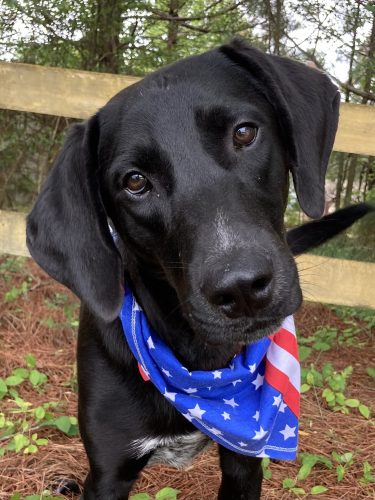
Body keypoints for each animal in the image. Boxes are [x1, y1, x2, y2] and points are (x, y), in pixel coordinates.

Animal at [25, 40, 374, 500]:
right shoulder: (107, 474)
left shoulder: (244, 461)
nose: (242, 287)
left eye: (244, 133)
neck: (200, 362)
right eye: (134, 181)